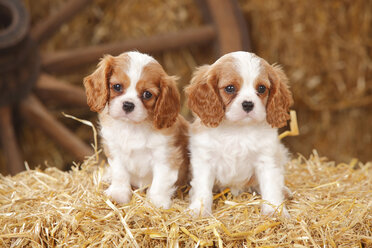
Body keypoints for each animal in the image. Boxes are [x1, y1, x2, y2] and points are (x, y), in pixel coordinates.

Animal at [84, 51, 189, 208]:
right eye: (117, 86)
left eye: (147, 94)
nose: (128, 105)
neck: (132, 127)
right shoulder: (115, 151)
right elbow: (120, 174)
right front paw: (119, 194)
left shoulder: (165, 156)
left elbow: (160, 182)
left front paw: (156, 202)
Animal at [186, 50, 294, 217]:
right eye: (230, 88)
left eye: (261, 88)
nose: (248, 104)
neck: (237, 129)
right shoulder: (204, 160)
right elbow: (202, 188)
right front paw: (199, 209)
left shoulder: (267, 159)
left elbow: (271, 186)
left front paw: (275, 210)